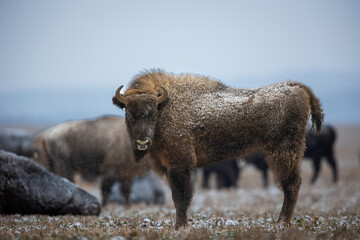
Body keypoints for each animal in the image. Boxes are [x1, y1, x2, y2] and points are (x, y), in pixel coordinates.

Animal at [112, 70, 324, 229]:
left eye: (152, 113)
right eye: (129, 114)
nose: (142, 143)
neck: (165, 105)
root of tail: (296, 87)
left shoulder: (180, 166)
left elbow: (180, 197)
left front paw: (180, 226)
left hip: (284, 152)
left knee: (291, 184)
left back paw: (281, 222)